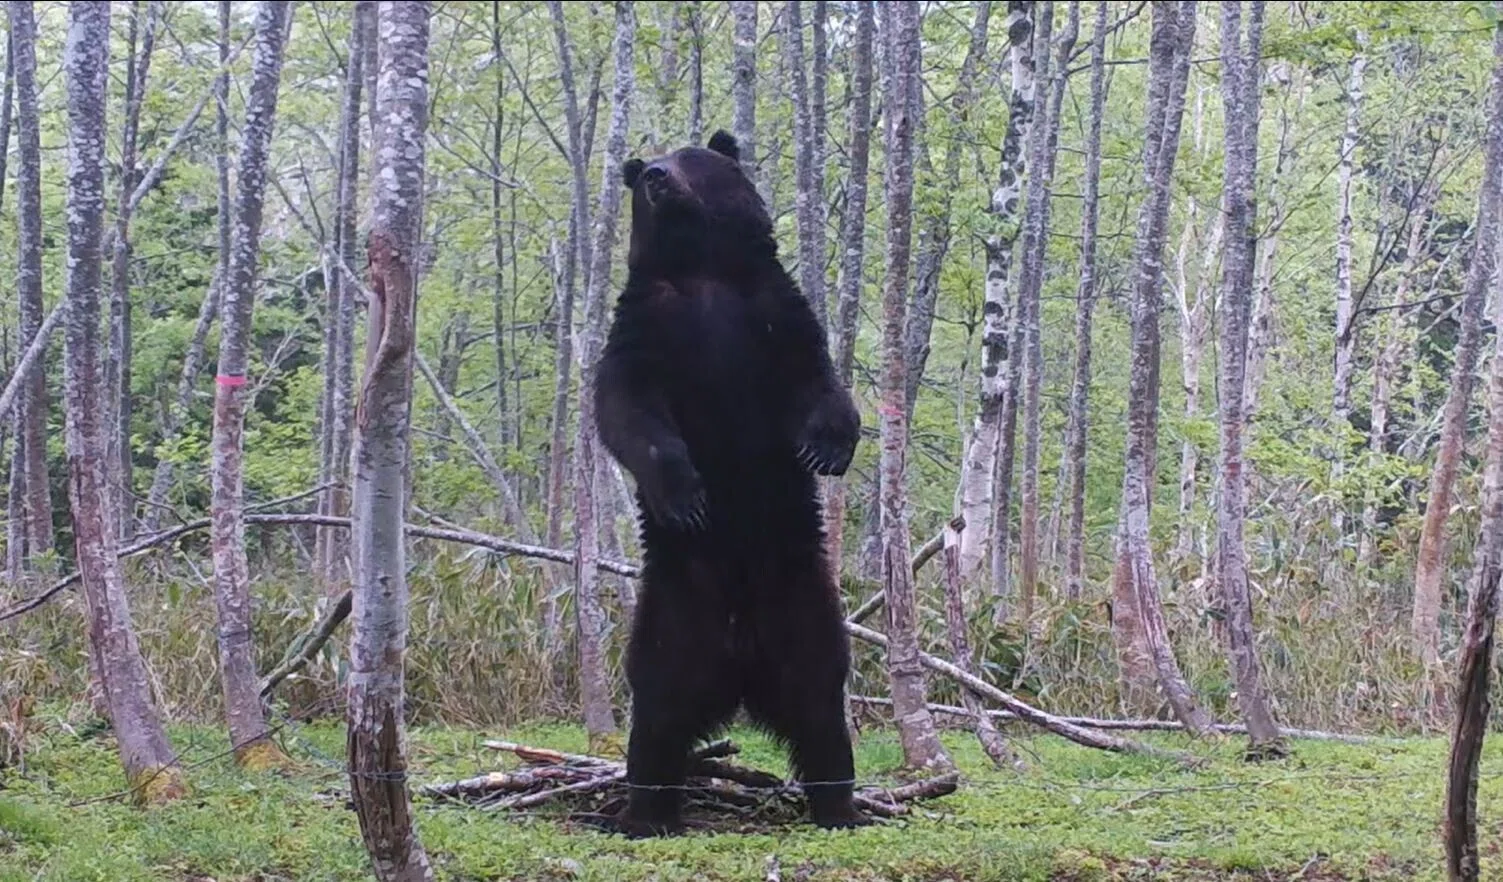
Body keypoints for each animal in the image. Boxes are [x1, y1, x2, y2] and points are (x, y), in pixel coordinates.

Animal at [592, 129, 868, 838]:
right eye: (645, 169)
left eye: (690, 157)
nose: (656, 176)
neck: (704, 272)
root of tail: (741, 667)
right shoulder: (646, 329)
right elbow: (627, 409)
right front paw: (686, 495)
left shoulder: (773, 315)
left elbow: (820, 381)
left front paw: (827, 448)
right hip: (673, 616)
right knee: (657, 710)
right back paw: (646, 812)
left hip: (806, 609)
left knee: (822, 703)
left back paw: (840, 806)